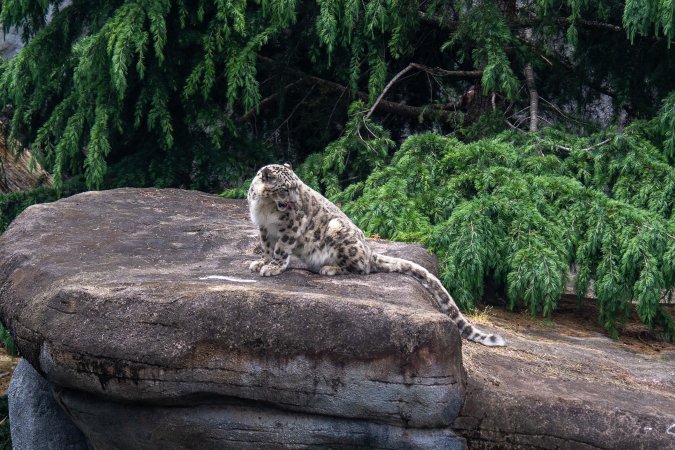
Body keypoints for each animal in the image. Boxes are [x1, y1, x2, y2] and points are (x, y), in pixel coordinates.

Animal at [247, 163, 506, 347]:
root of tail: (370, 250)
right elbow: (267, 247)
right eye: (284, 188)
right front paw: (260, 262)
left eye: (297, 187)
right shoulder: (264, 229)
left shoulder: (292, 226)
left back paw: (329, 268)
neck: (265, 209)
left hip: (339, 233)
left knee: (361, 268)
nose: (293, 202)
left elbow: (281, 249)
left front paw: (272, 267)